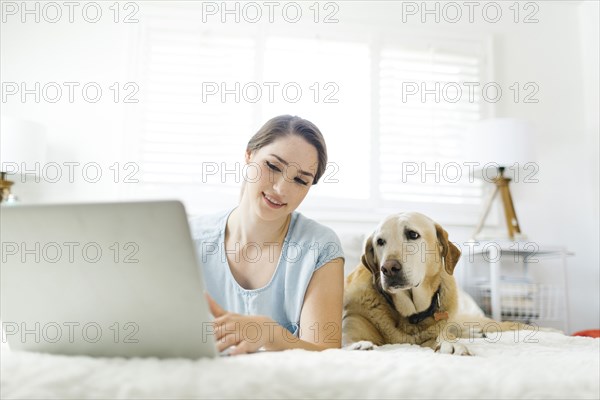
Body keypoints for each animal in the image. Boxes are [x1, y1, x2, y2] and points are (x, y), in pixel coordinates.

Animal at [340, 212, 532, 356]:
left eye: (412, 234)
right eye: (380, 242)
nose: (388, 268)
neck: (413, 315)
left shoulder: (439, 328)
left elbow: (444, 335)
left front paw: (451, 343)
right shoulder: (352, 319)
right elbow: (348, 337)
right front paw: (358, 345)